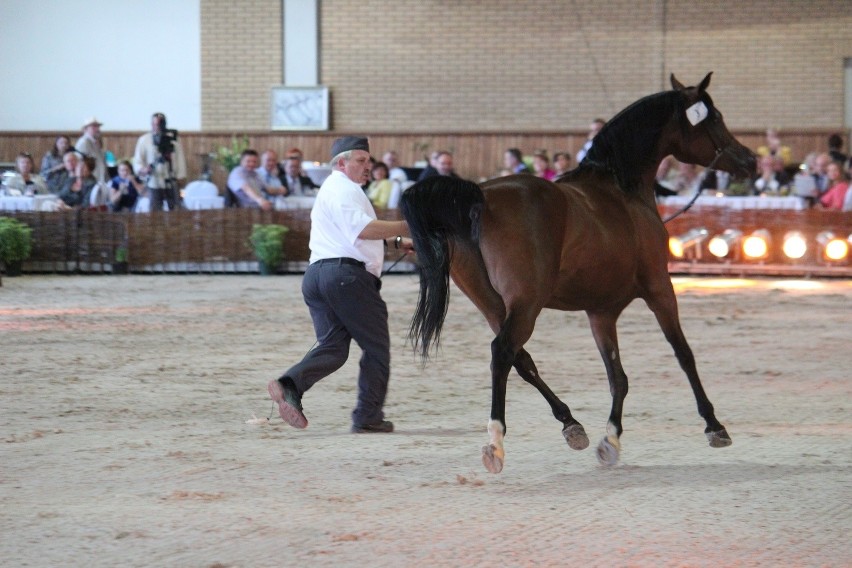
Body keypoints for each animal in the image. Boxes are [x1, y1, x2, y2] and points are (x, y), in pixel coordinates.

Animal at [402, 73, 756, 472]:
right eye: (715, 118)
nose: (751, 161)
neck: (621, 189)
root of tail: (481, 197)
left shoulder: (601, 311)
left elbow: (618, 376)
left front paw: (611, 439)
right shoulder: (660, 289)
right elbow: (683, 354)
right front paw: (714, 425)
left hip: (493, 305)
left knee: (522, 360)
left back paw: (571, 424)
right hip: (527, 303)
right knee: (503, 352)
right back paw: (495, 442)